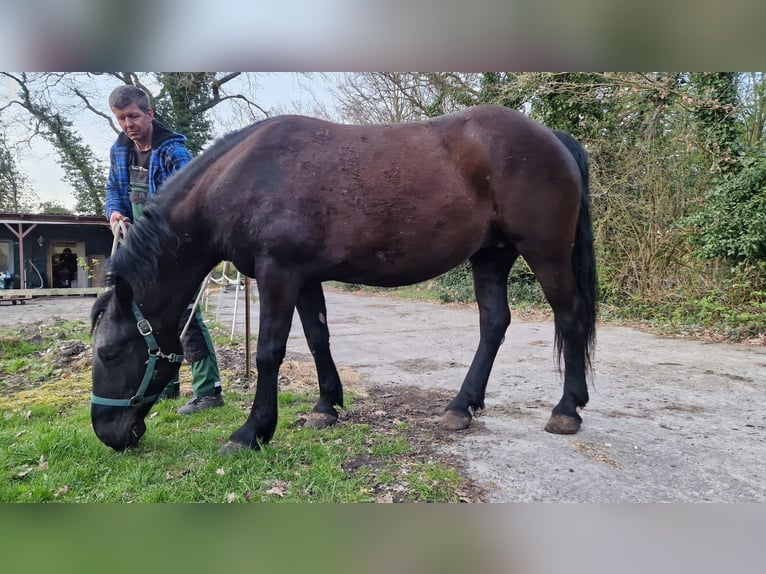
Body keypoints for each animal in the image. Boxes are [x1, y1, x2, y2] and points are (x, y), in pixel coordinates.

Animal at [90, 105, 597, 452]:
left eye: (110, 353)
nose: (108, 433)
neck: (244, 178)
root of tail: (551, 137)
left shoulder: (278, 274)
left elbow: (271, 352)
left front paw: (252, 431)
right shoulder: (304, 278)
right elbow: (318, 338)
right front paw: (325, 406)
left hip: (546, 252)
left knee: (569, 317)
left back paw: (566, 410)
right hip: (491, 256)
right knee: (494, 323)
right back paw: (460, 407)